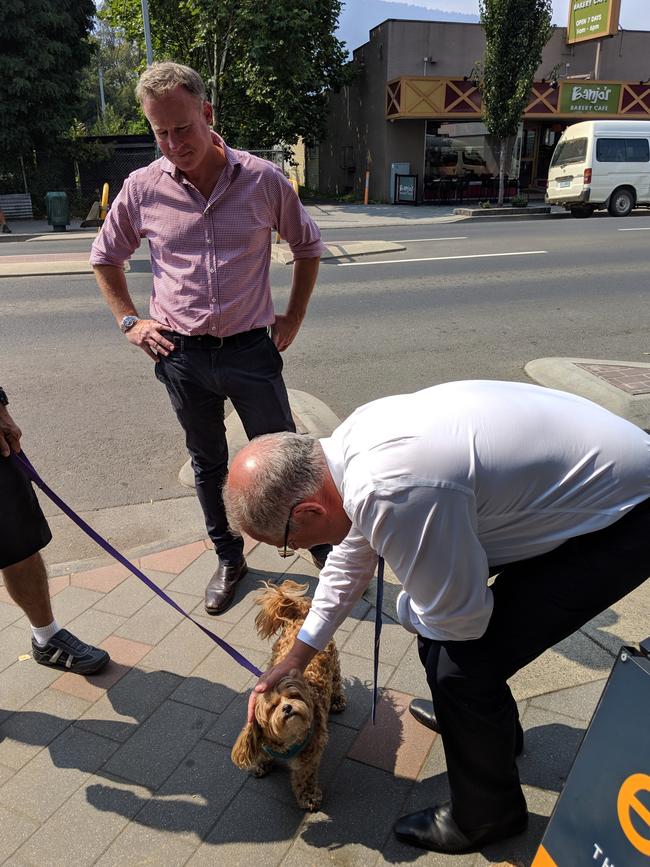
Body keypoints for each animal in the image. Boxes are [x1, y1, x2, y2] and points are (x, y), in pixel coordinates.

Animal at [230, 580, 346, 812]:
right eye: (272, 706)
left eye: (293, 696)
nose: (287, 708)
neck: (287, 741)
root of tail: (300, 616)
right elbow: (263, 754)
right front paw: (261, 765)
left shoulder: (309, 757)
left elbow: (305, 777)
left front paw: (308, 796)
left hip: (332, 662)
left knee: (337, 679)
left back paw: (337, 700)